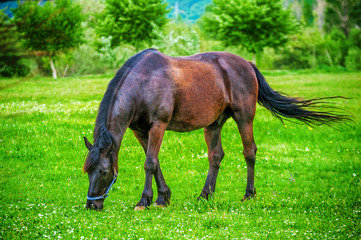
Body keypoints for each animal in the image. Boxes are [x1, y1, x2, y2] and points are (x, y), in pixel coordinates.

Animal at [82, 48, 348, 210]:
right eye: (88, 172)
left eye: (104, 172)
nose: (92, 205)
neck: (143, 83)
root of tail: (247, 64)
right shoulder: (140, 130)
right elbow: (156, 162)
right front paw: (164, 196)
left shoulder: (158, 125)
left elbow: (150, 163)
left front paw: (146, 200)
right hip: (214, 124)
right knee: (215, 156)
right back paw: (205, 194)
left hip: (244, 117)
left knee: (249, 152)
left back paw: (249, 194)